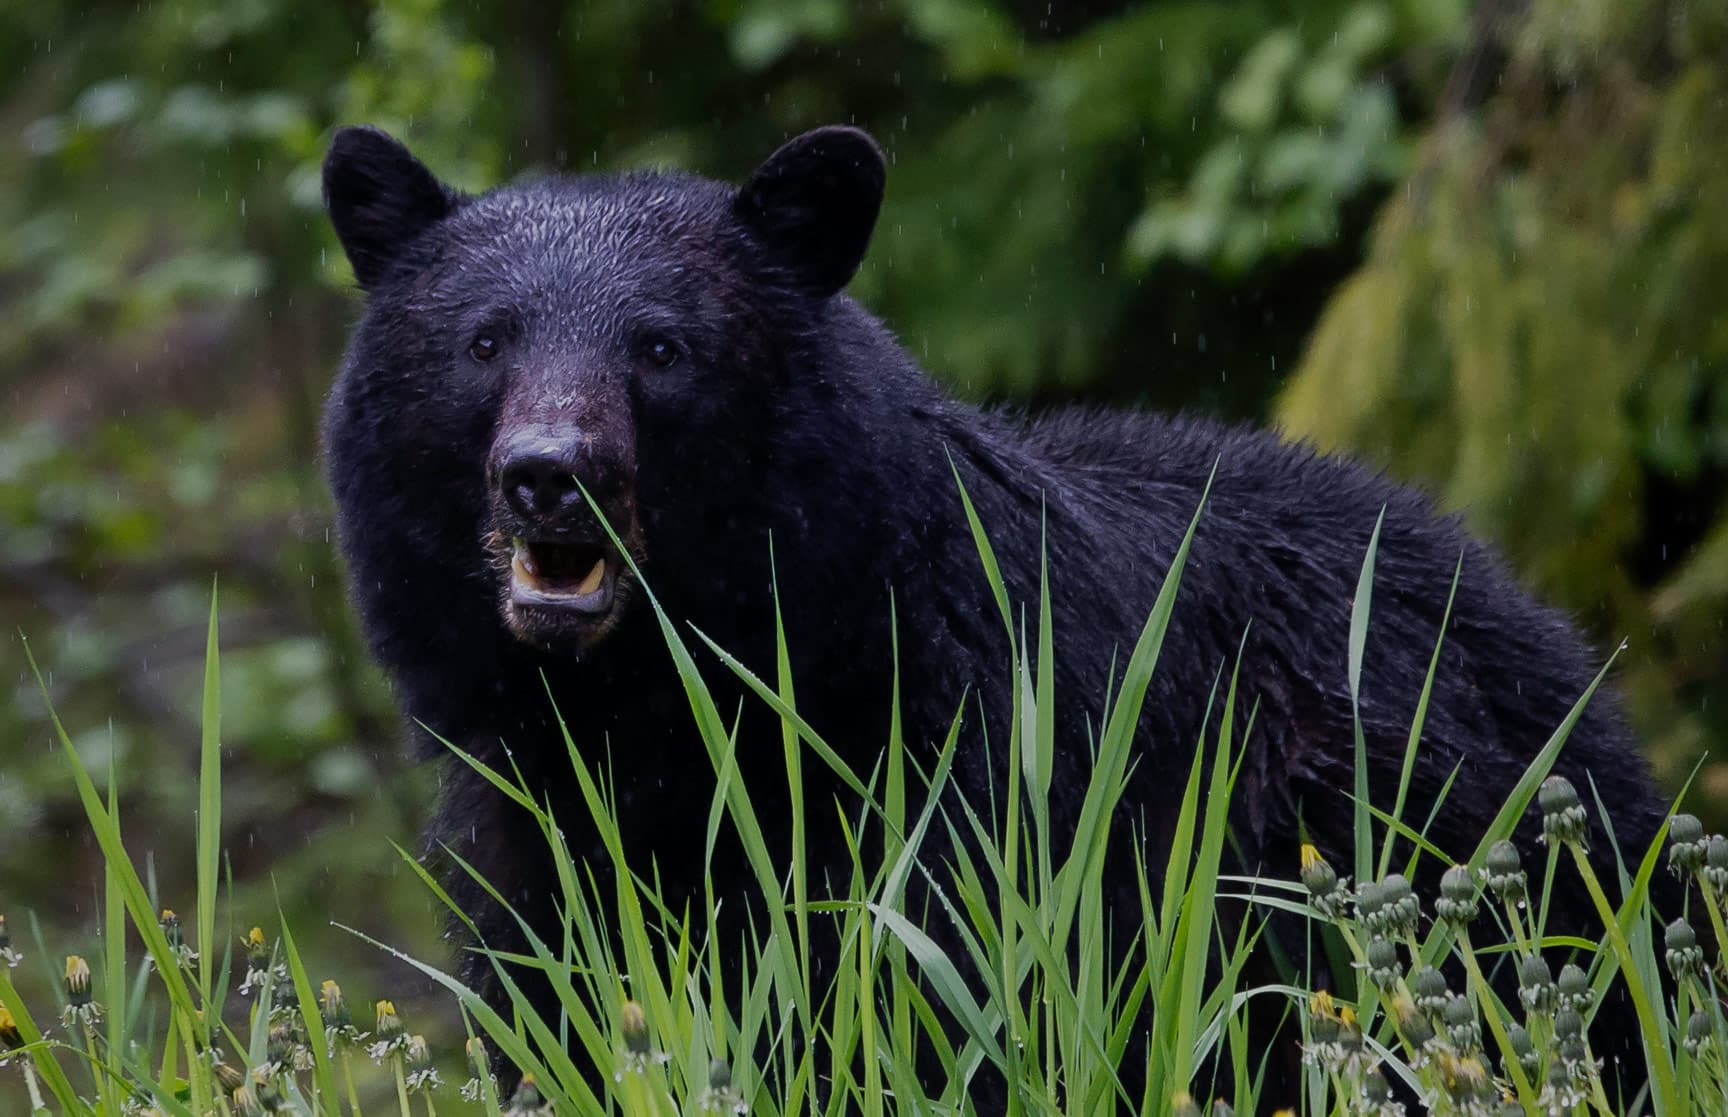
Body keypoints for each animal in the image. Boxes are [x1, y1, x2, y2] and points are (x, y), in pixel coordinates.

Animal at [319, 123, 1673, 1102]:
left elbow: (934, 1008)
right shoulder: (527, 835)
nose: (551, 472)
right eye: (484, 341)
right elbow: (559, 1013)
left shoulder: (980, 783)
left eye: (662, 348)